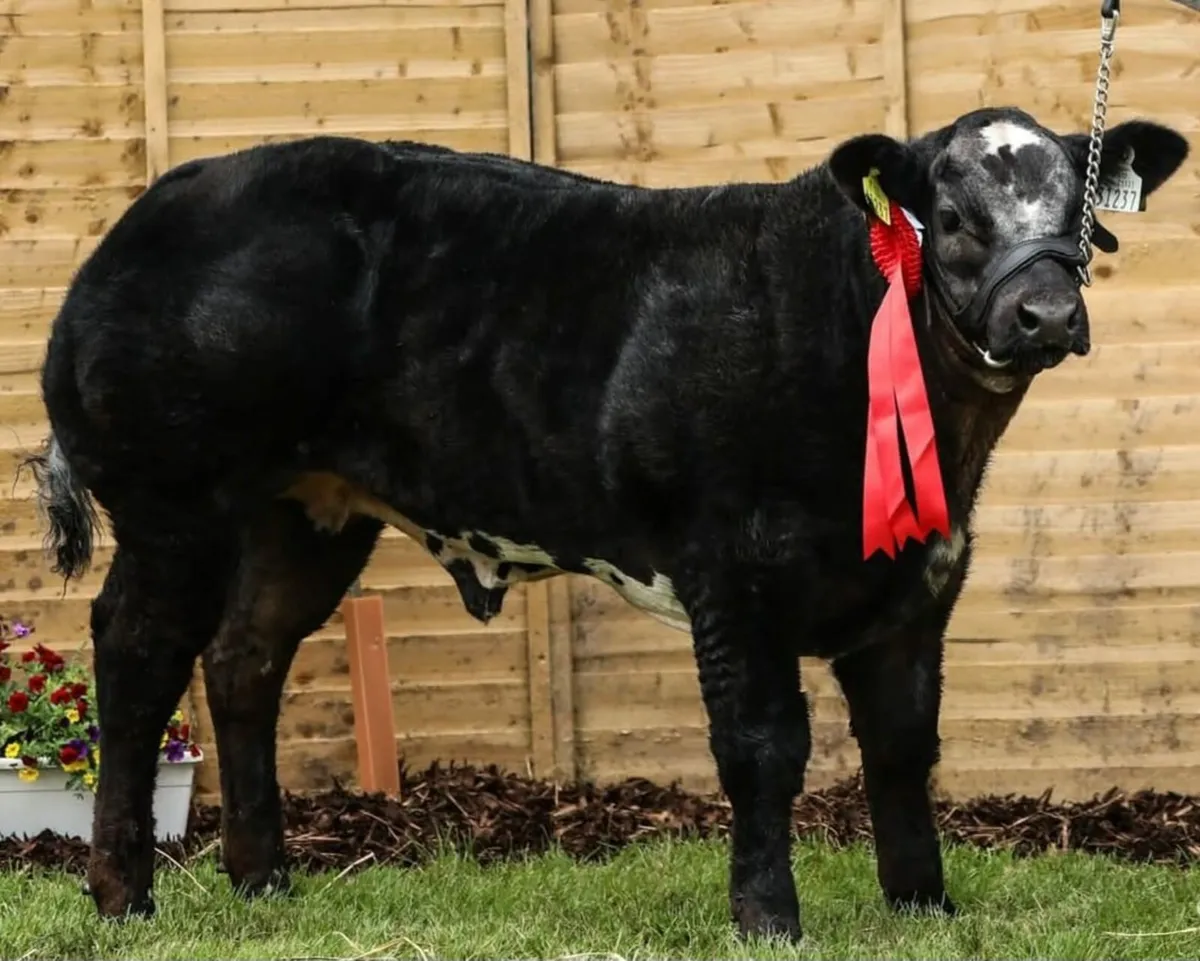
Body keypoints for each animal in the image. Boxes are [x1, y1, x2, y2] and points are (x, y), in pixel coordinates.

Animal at [26, 106, 1188, 941]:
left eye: (1078, 214)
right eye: (950, 219)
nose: (1046, 313)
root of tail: (155, 209)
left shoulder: (923, 579)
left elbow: (904, 744)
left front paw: (925, 906)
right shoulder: (735, 572)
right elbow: (763, 747)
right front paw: (769, 918)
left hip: (303, 513)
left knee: (243, 659)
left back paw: (263, 883)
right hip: (174, 506)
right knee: (136, 659)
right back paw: (124, 896)